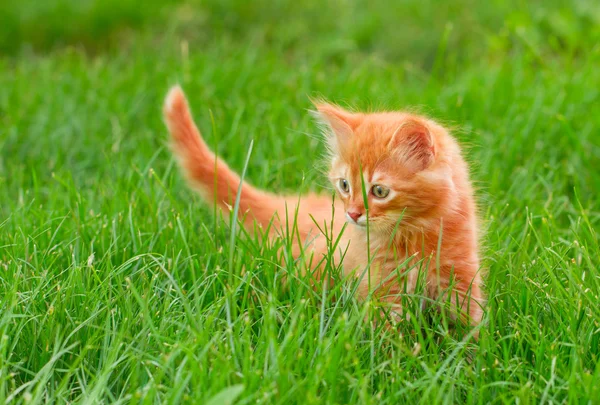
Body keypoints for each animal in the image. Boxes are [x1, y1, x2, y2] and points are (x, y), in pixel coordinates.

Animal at [164, 85, 488, 326]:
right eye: (344, 185)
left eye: (379, 191)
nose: (352, 214)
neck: (413, 234)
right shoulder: (381, 288)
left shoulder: (460, 277)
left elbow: (468, 326)